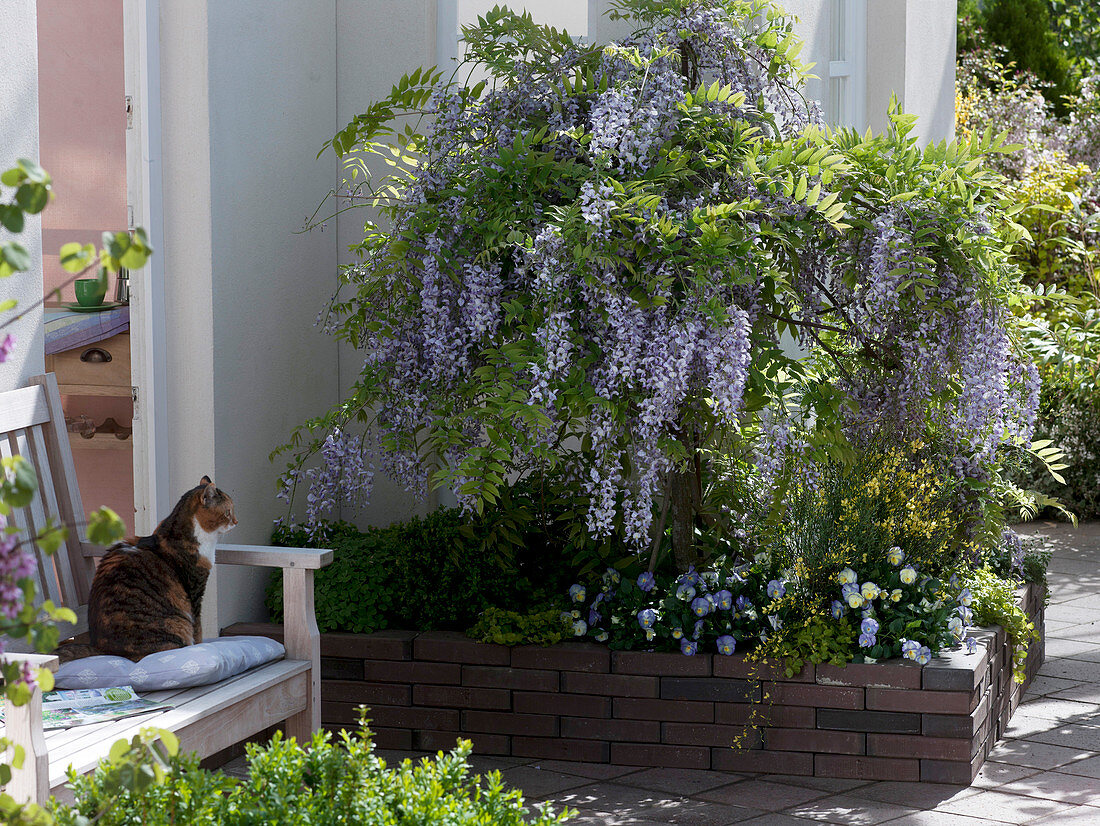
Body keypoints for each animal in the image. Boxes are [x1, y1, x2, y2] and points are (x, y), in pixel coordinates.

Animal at [56, 475, 237, 664]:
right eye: (228, 512)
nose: (236, 522)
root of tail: (102, 649)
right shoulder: (194, 590)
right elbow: (198, 628)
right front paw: (200, 645)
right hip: (175, 624)